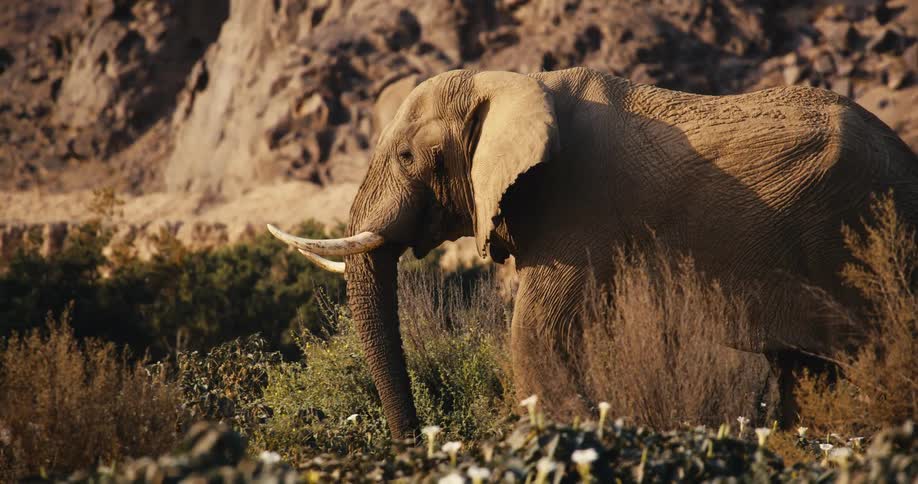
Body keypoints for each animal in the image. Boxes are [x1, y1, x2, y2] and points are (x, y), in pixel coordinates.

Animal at [268, 67, 918, 439]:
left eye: (406, 157)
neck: (515, 82)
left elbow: (535, 337)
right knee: (803, 373)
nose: (414, 443)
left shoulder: (577, 207)